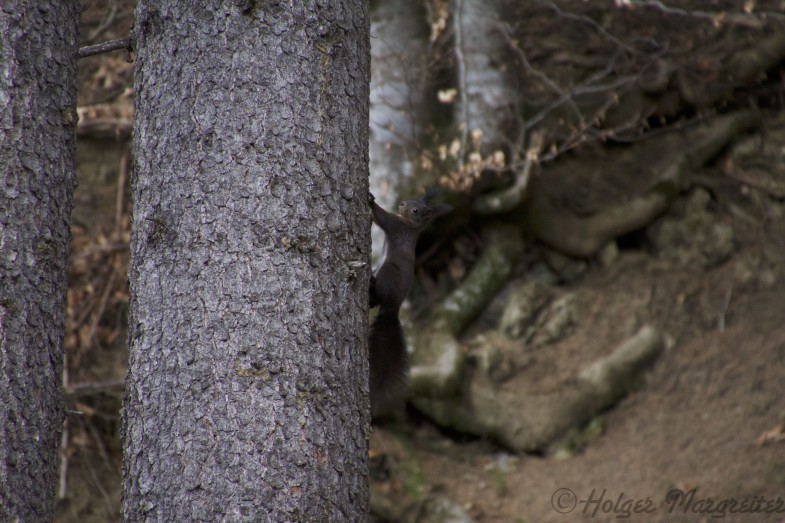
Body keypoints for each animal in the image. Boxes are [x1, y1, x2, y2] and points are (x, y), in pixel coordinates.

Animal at [368, 190, 454, 416]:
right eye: (414, 198)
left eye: (415, 210)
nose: (402, 203)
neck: (412, 227)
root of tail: (393, 309)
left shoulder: (396, 226)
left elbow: (381, 217)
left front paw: (370, 198)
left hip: (389, 272)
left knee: (380, 293)